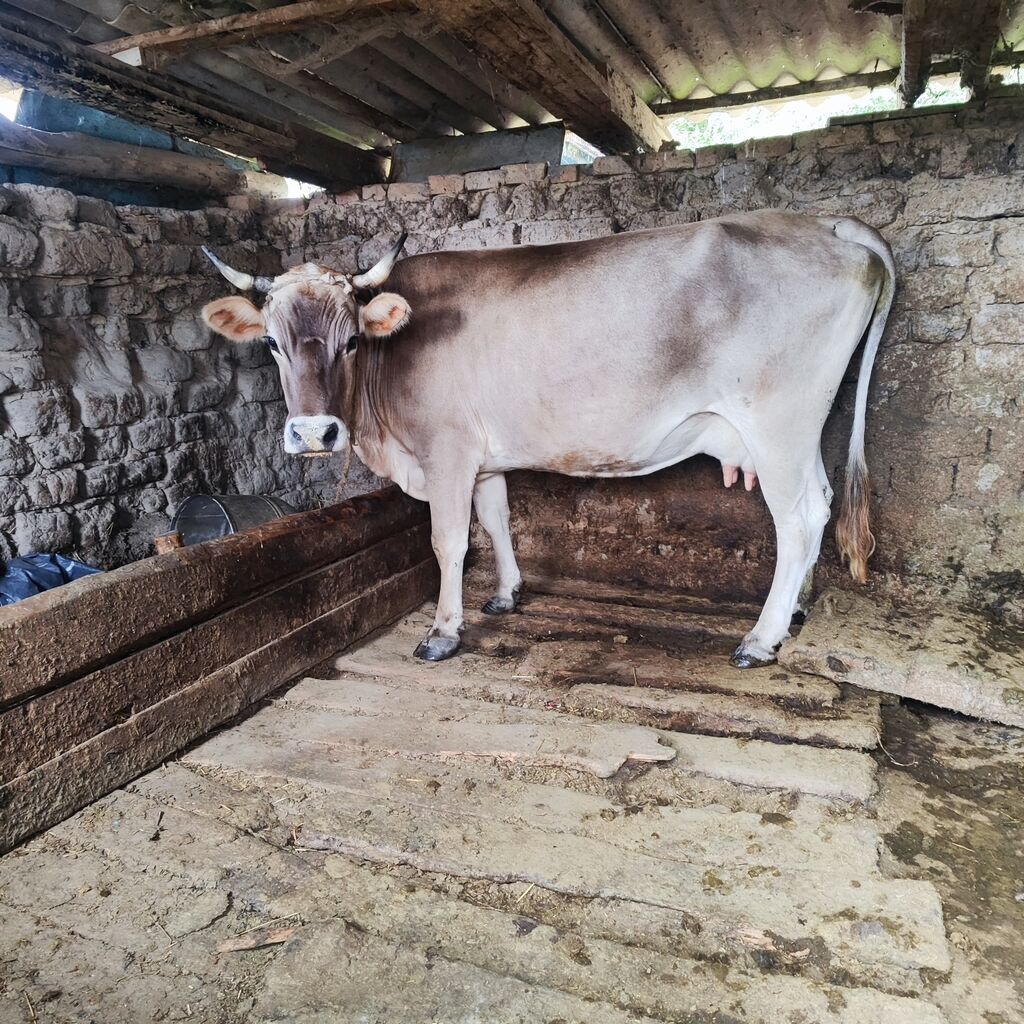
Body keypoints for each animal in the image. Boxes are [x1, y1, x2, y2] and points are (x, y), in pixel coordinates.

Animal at [200, 211, 894, 667]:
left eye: (350, 341)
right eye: (271, 342)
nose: (313, 432)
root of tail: (825, 223)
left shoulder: (447, 450)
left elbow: (449, 541)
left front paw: (443, 631)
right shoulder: (483, 459)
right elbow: (498, 519)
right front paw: (507, 594)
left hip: (779, 424)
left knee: (799, 519)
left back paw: (760, 638)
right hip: (801, 430)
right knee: (821, 502)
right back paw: (795, 612)